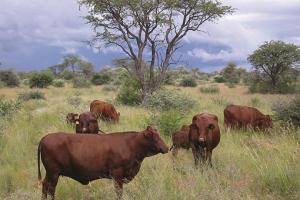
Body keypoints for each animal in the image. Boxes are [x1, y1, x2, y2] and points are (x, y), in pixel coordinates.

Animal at [37, 126, 169, 199]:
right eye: (154, 137)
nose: (166, 148)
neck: (131, 145)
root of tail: (45, 138)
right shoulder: (117, 174)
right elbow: (119, 192)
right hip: (53, 172)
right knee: (50, 188)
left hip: (50, 173)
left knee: (45, 186)